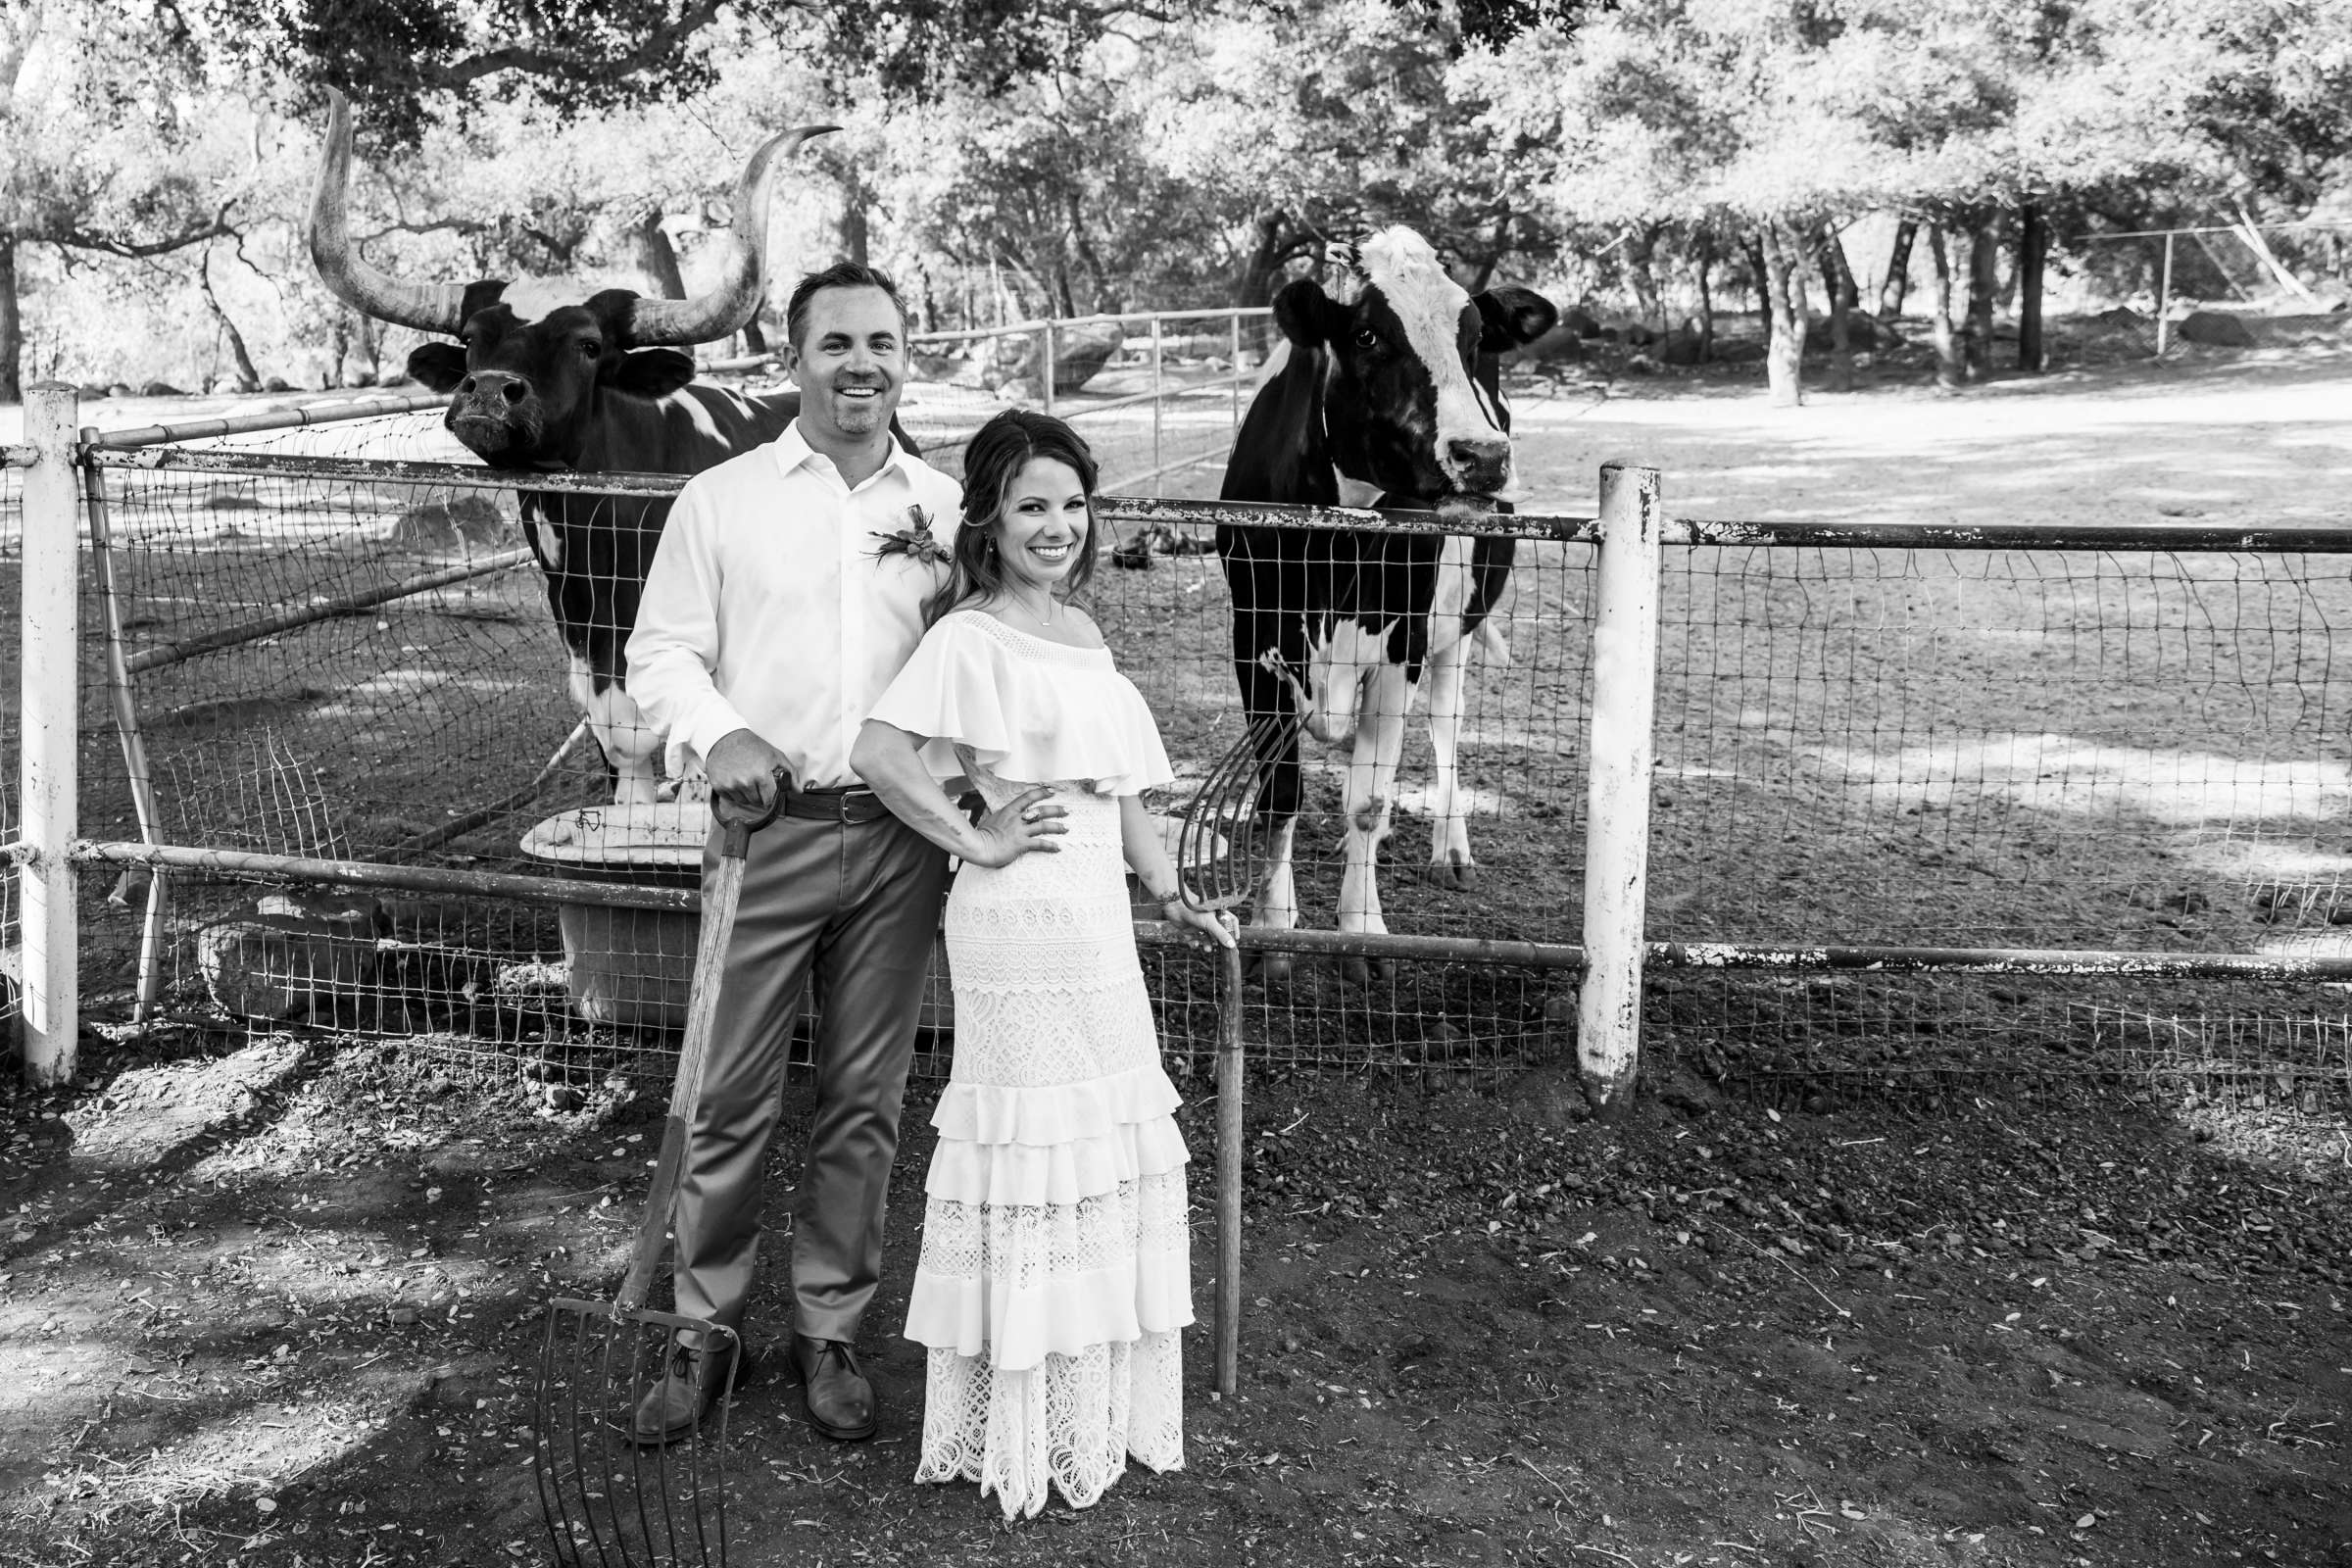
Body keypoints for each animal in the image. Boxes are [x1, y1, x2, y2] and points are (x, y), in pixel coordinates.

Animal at [1213, 230, 1561, 968]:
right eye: (1368, 335)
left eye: (1475, 337)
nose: (1482, 456)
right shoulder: (1253, 636)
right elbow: (1281, 793)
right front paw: (1275, 926)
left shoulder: (1403, 642)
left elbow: (1370, 797)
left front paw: (1362, 927)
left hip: (1456, 629)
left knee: (1445, 725)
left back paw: (1449, 850)